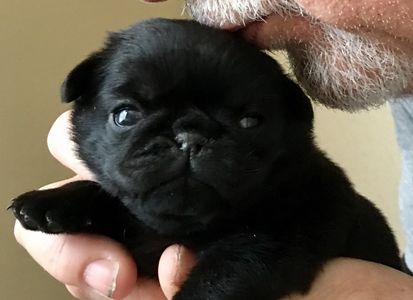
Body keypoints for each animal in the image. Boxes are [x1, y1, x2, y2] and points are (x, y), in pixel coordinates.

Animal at [11, 19, 400, 300]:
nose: (190, 137)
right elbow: (111, 195)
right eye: (125, 116)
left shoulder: (275, 241)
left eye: (249, 122)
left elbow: (222, 279)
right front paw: (51, 202)